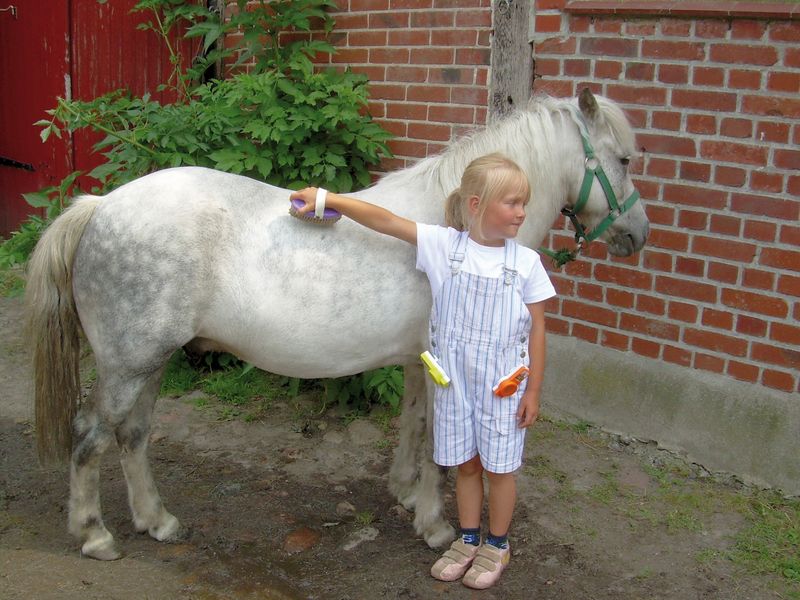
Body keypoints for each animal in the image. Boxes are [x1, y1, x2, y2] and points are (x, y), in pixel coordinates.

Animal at [26, 89, 648, 556]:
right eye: (623, 160)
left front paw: (404, 493)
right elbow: (436, 445)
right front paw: (434, 525)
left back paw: (157, 521)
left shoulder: (418, 363)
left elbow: (412, 425)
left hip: (149, 362)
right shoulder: (441, 365)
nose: (637, 235)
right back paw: (95, 535)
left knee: (132, 435)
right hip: (128, 366)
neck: (455, 228)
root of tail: (99, 207)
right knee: (90, 435)